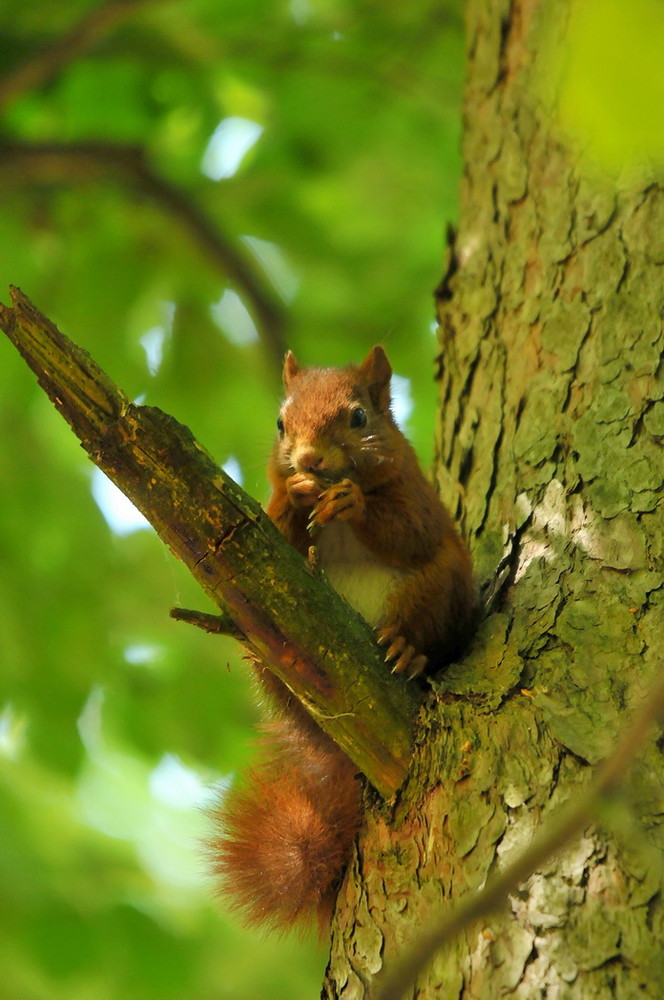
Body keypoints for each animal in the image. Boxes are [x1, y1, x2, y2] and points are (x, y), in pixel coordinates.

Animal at [210, 348, 474, 932]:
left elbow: (411, 530)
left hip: (437, 587)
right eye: (280, 423)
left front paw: (352, 500)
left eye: (359, 417)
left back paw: (407, 652)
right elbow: (273, 529)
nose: (309, 459)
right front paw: (294, 494)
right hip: (263, 649)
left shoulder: (415, 494)